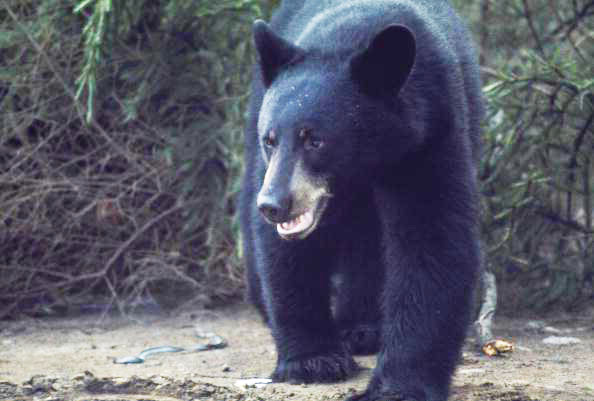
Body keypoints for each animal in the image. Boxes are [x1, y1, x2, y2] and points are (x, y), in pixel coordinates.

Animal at [239, 0, 480, 400]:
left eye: (315, 140)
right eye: (270, 139)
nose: (273, 205)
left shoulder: (429, 138)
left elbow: (433, 241)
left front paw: (398, 385)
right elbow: (285, 254)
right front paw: (313, 360)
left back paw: (363, 328)